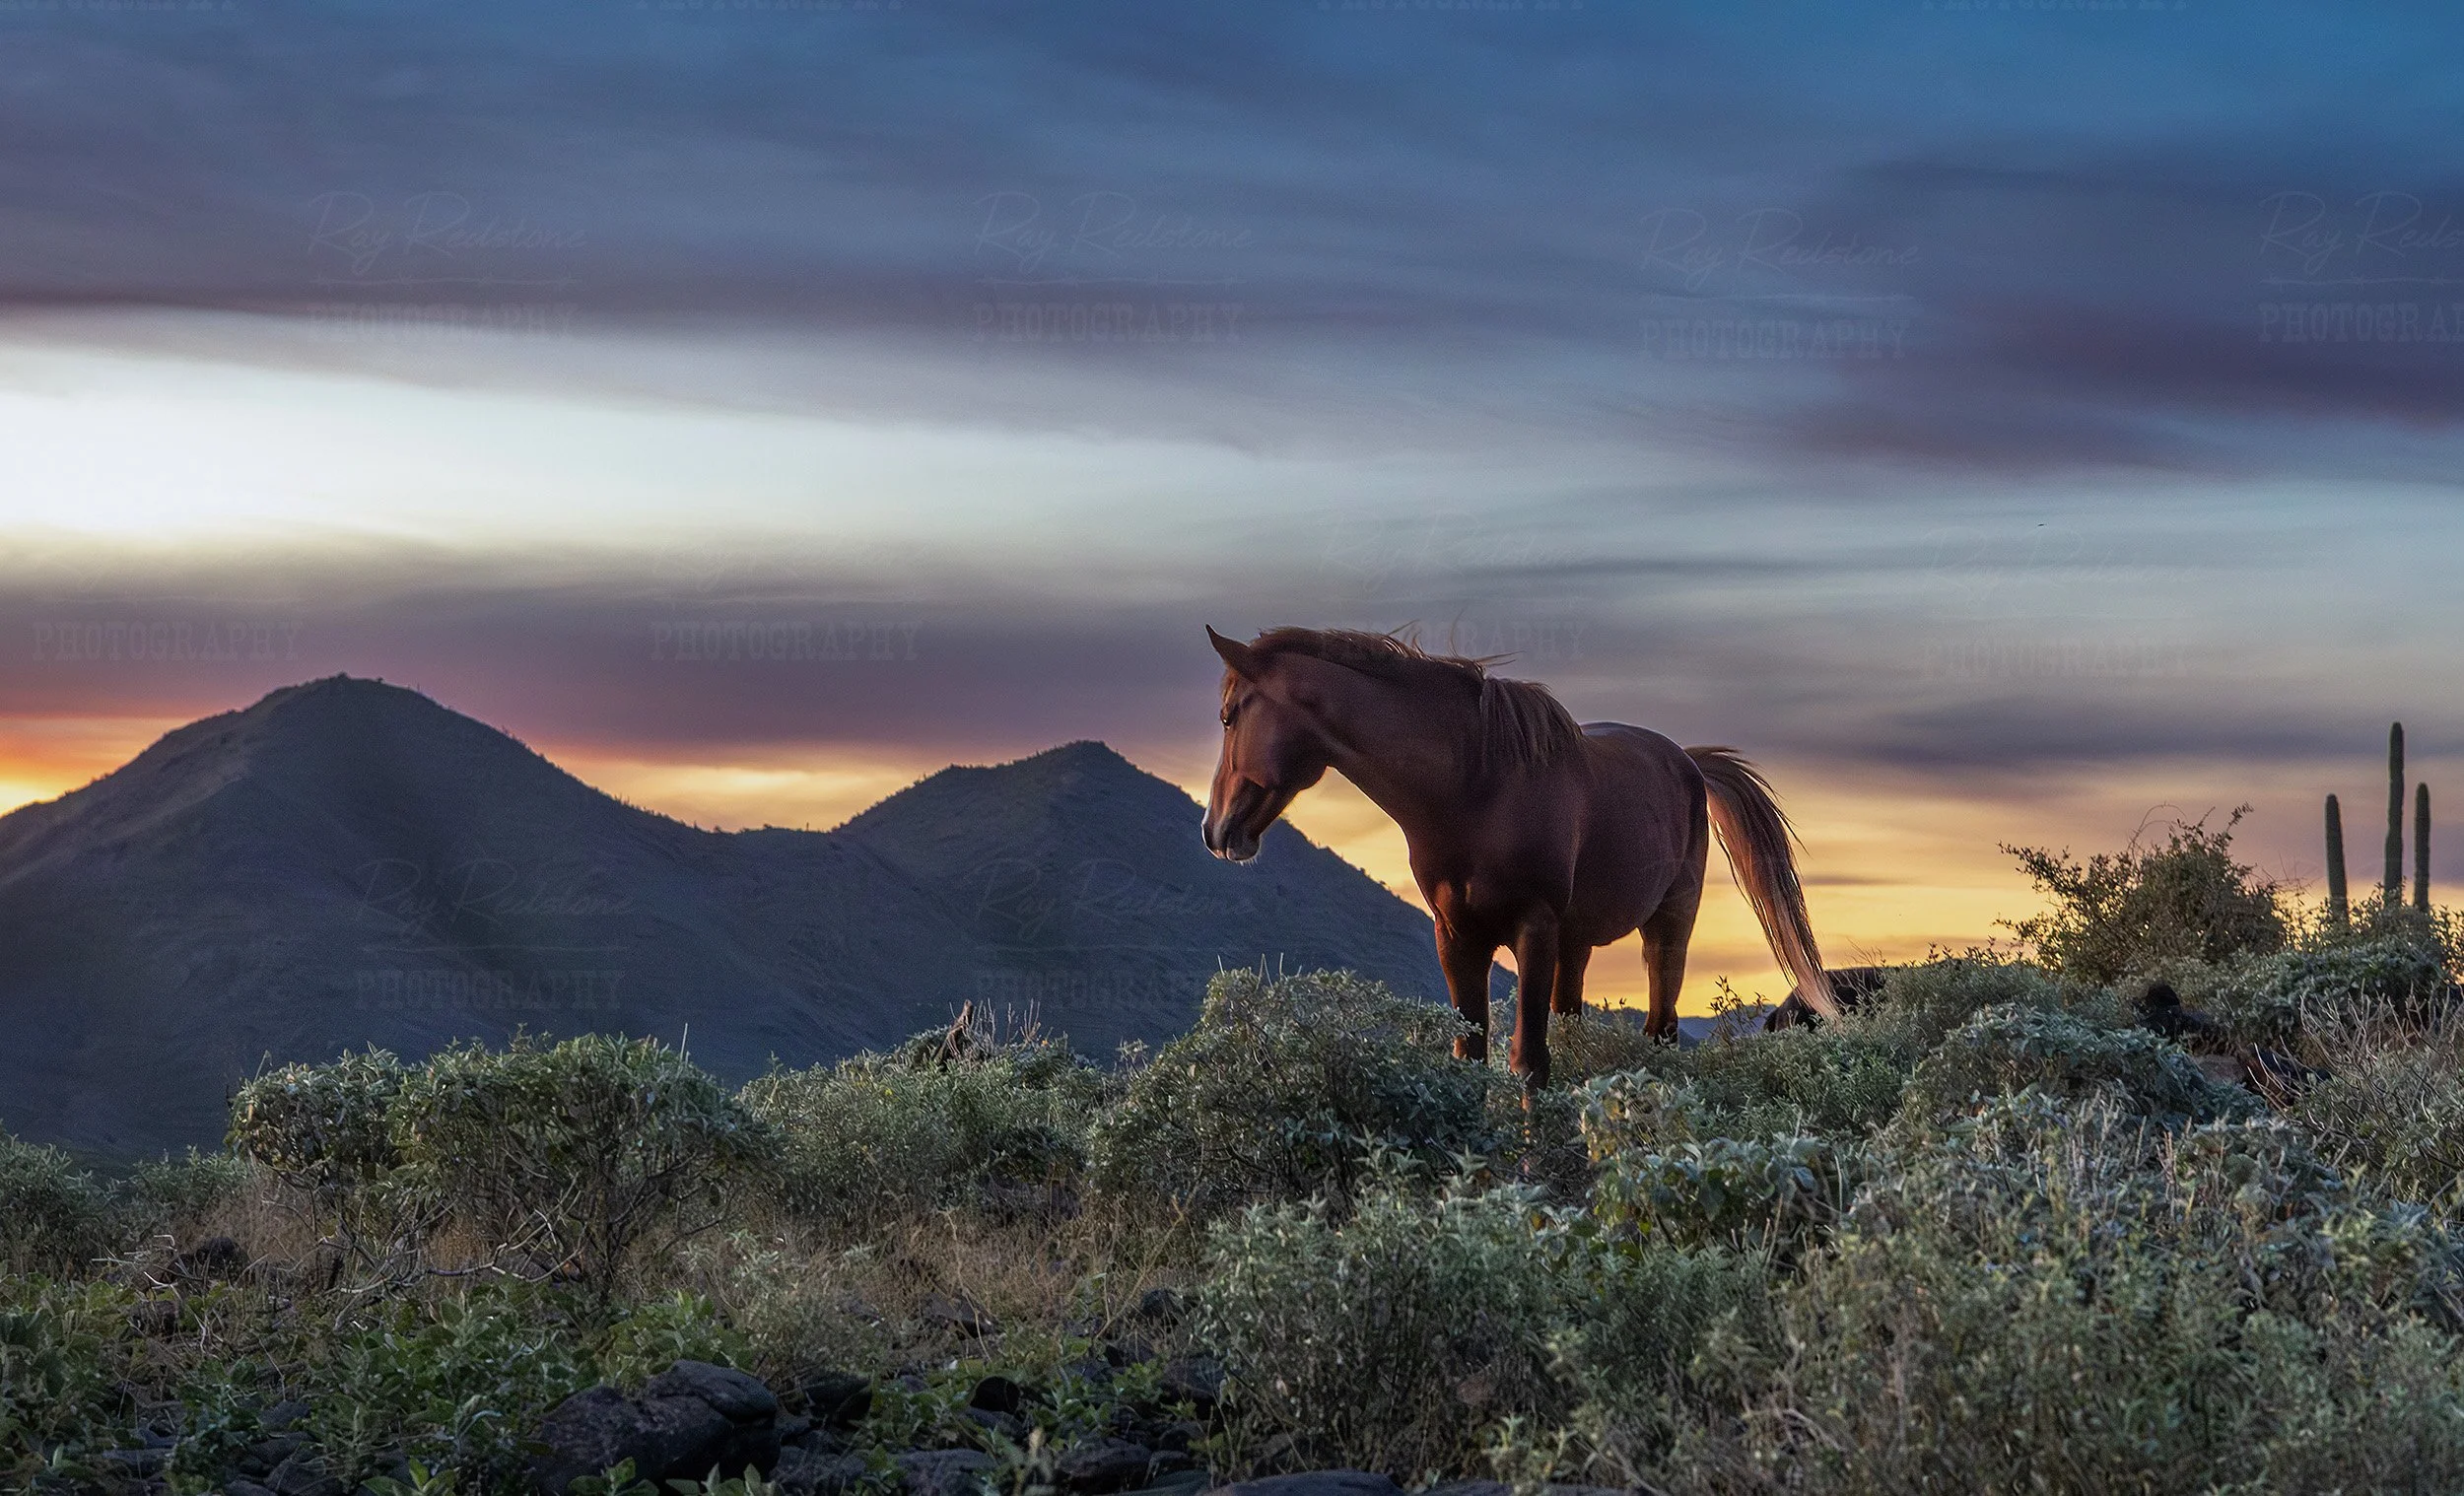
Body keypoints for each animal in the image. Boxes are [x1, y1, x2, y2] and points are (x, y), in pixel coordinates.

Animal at [1200, 625, 1837, 1090]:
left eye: (1230, 715)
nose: (1214, 829)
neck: (1474, 790)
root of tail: (1686, 760)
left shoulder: (1534, 928)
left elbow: (1528, 1062)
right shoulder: (1457, 936)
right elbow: (1472, 1053)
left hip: (1668, 926)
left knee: (1660, 1029)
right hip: (1576, 943)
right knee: (1577, 1023)